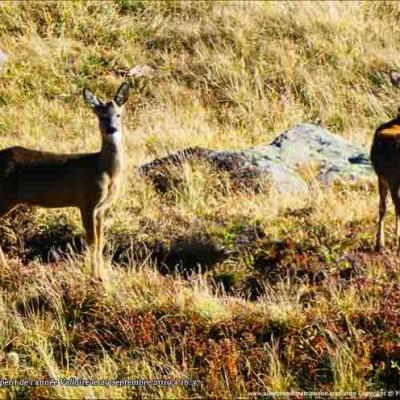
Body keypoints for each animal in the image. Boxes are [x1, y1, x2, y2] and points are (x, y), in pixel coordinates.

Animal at [0, 83, 129, 280]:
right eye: (101, 116)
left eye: (118, 115)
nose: (111, 129)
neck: (104, 170)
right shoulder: (86, 202)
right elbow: (92, 241)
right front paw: (94, 276)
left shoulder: (101, 208)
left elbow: (101, 241)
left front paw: (102, 274)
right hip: (4, 198)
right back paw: (6, 269)